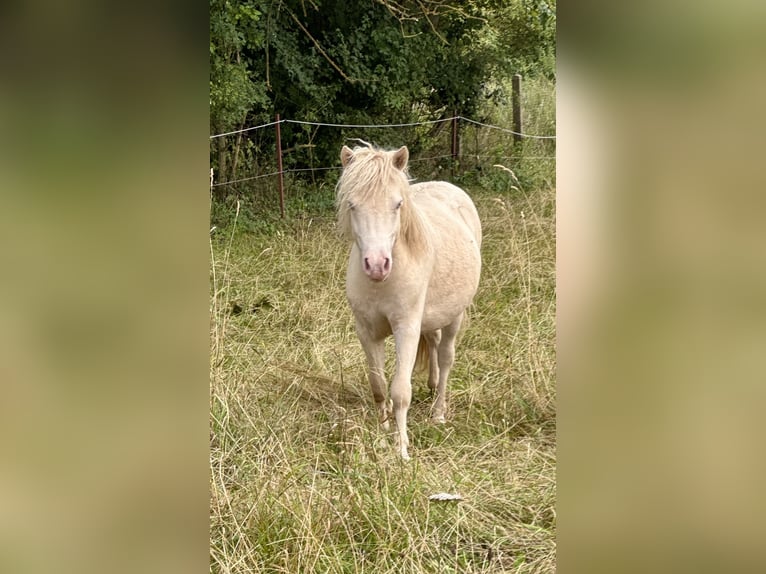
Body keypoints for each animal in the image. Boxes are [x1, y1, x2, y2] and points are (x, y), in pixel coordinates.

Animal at [336, 143, 482, 460]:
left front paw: (401, 448)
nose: (377, 265)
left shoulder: (406, 328)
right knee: (435, 344)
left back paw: (438, 412)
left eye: (398, 204)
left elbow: (400, 390)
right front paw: (381, 433)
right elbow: (378, 386)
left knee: (446, 356)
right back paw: (432, 386)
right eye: (353, 205)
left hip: (455, 317)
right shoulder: (366, 331)